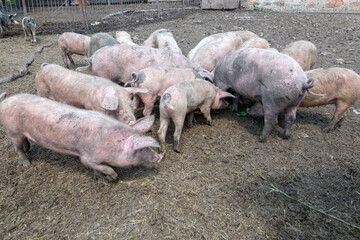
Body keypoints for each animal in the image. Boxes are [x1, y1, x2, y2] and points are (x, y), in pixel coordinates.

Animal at [0, 93, 161, 180]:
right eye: (141, 149)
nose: (159, 157)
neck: (111, 143)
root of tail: (4, 101)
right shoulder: (87, 157)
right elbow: (103, 167)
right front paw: (113, 177)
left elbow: (99, 168)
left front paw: (100, 177)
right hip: (13, 131)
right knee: (17, 148)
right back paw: (26, 163)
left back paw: (28, 149)